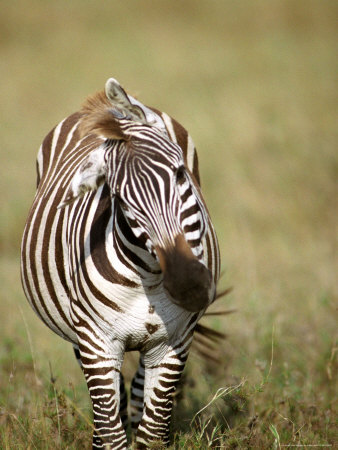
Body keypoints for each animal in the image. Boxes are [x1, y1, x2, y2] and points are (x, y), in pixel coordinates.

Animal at [21, 79, 222, 448]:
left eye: (180, 173)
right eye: (121, 199)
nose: (188, 285)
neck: (150, 276)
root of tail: (106, 108)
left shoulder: (174, 342)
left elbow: (152, 433)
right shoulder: (96, 343)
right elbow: (112, 429)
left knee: (139, 393)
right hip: (82, 337)